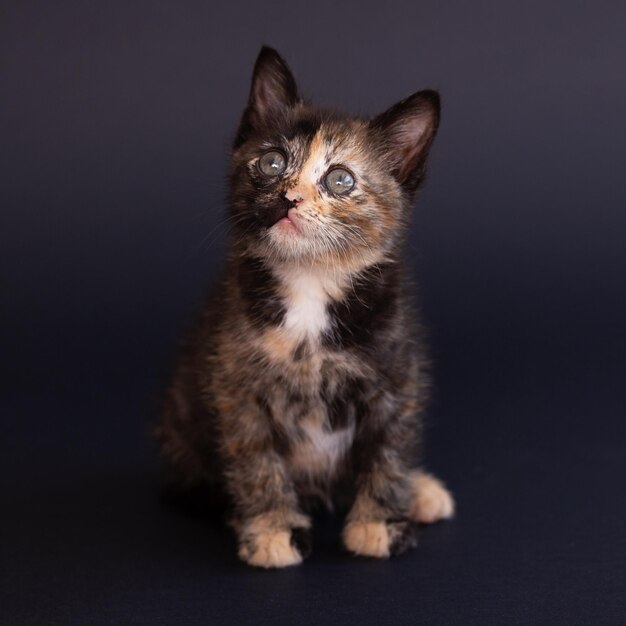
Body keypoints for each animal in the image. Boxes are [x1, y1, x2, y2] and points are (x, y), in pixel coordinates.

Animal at [154, 47, 450, 564]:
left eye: (340, 179)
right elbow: (256, 457)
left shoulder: (396, 375)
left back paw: (419, 491)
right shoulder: (235, 382)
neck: (310, 284)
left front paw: (379, 522)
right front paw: (273, 528)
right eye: (272, 162)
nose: (288, 197)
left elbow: (389, 449)